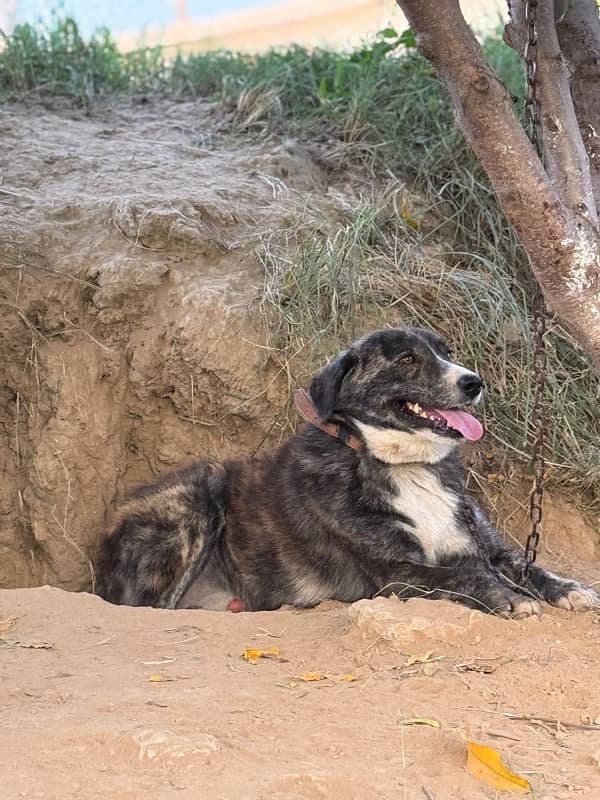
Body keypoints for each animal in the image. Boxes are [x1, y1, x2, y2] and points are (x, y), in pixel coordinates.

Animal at [96, 324, 596, 620]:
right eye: (407, 359)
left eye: (446, 352)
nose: (474, 382)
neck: (404, 465)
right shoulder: (395, 573)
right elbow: (465, 576)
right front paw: (507, 596)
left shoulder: (481, 544)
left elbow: (525, 563)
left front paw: (568, 588)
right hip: (199, 495)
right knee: (148, 604)